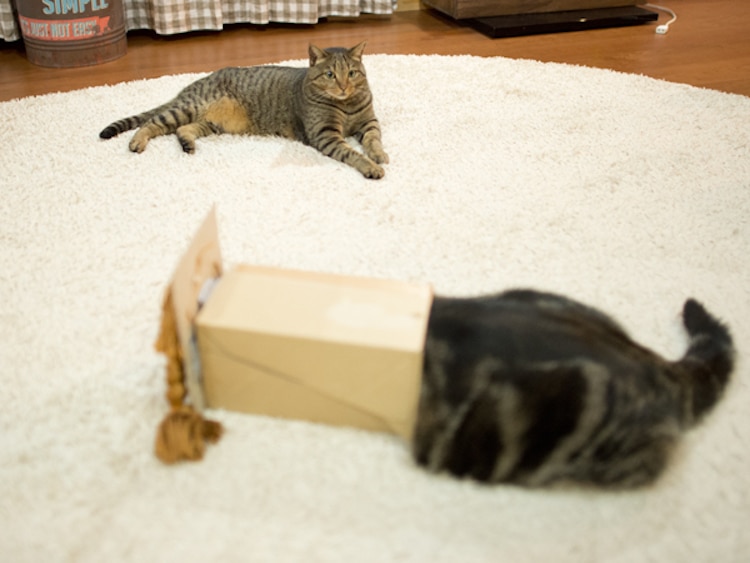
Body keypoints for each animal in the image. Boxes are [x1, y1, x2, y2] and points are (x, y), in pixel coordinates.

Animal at [100, 43, 390, 180]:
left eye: (352, 73)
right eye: (330, 74)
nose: (343, 86)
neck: (346, 105)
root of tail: (191, 85)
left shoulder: (369, 122)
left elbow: (373, 139)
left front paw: (379, 154)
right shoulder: (325, 134)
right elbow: (352, 153)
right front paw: (371, 166)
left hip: (207, 123)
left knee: (182, 129)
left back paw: (187, 145)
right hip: (189, 107)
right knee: (151, 123)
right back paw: (137, 142)